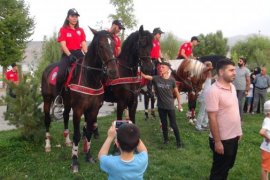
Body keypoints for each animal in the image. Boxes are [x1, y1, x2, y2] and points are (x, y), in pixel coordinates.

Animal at [41, 28, 118, 173]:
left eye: (113, 44)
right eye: (101, 46)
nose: (113, 71)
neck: (90, 78)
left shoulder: (93, 110)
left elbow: (88, 132)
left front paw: (89, 156)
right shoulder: (78, 110)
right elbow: (77, 134)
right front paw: (75, 161)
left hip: (66, 103)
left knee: (65, 116)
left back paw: (66, 140)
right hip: (47, 100)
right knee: (47, 120)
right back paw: (47, 144)